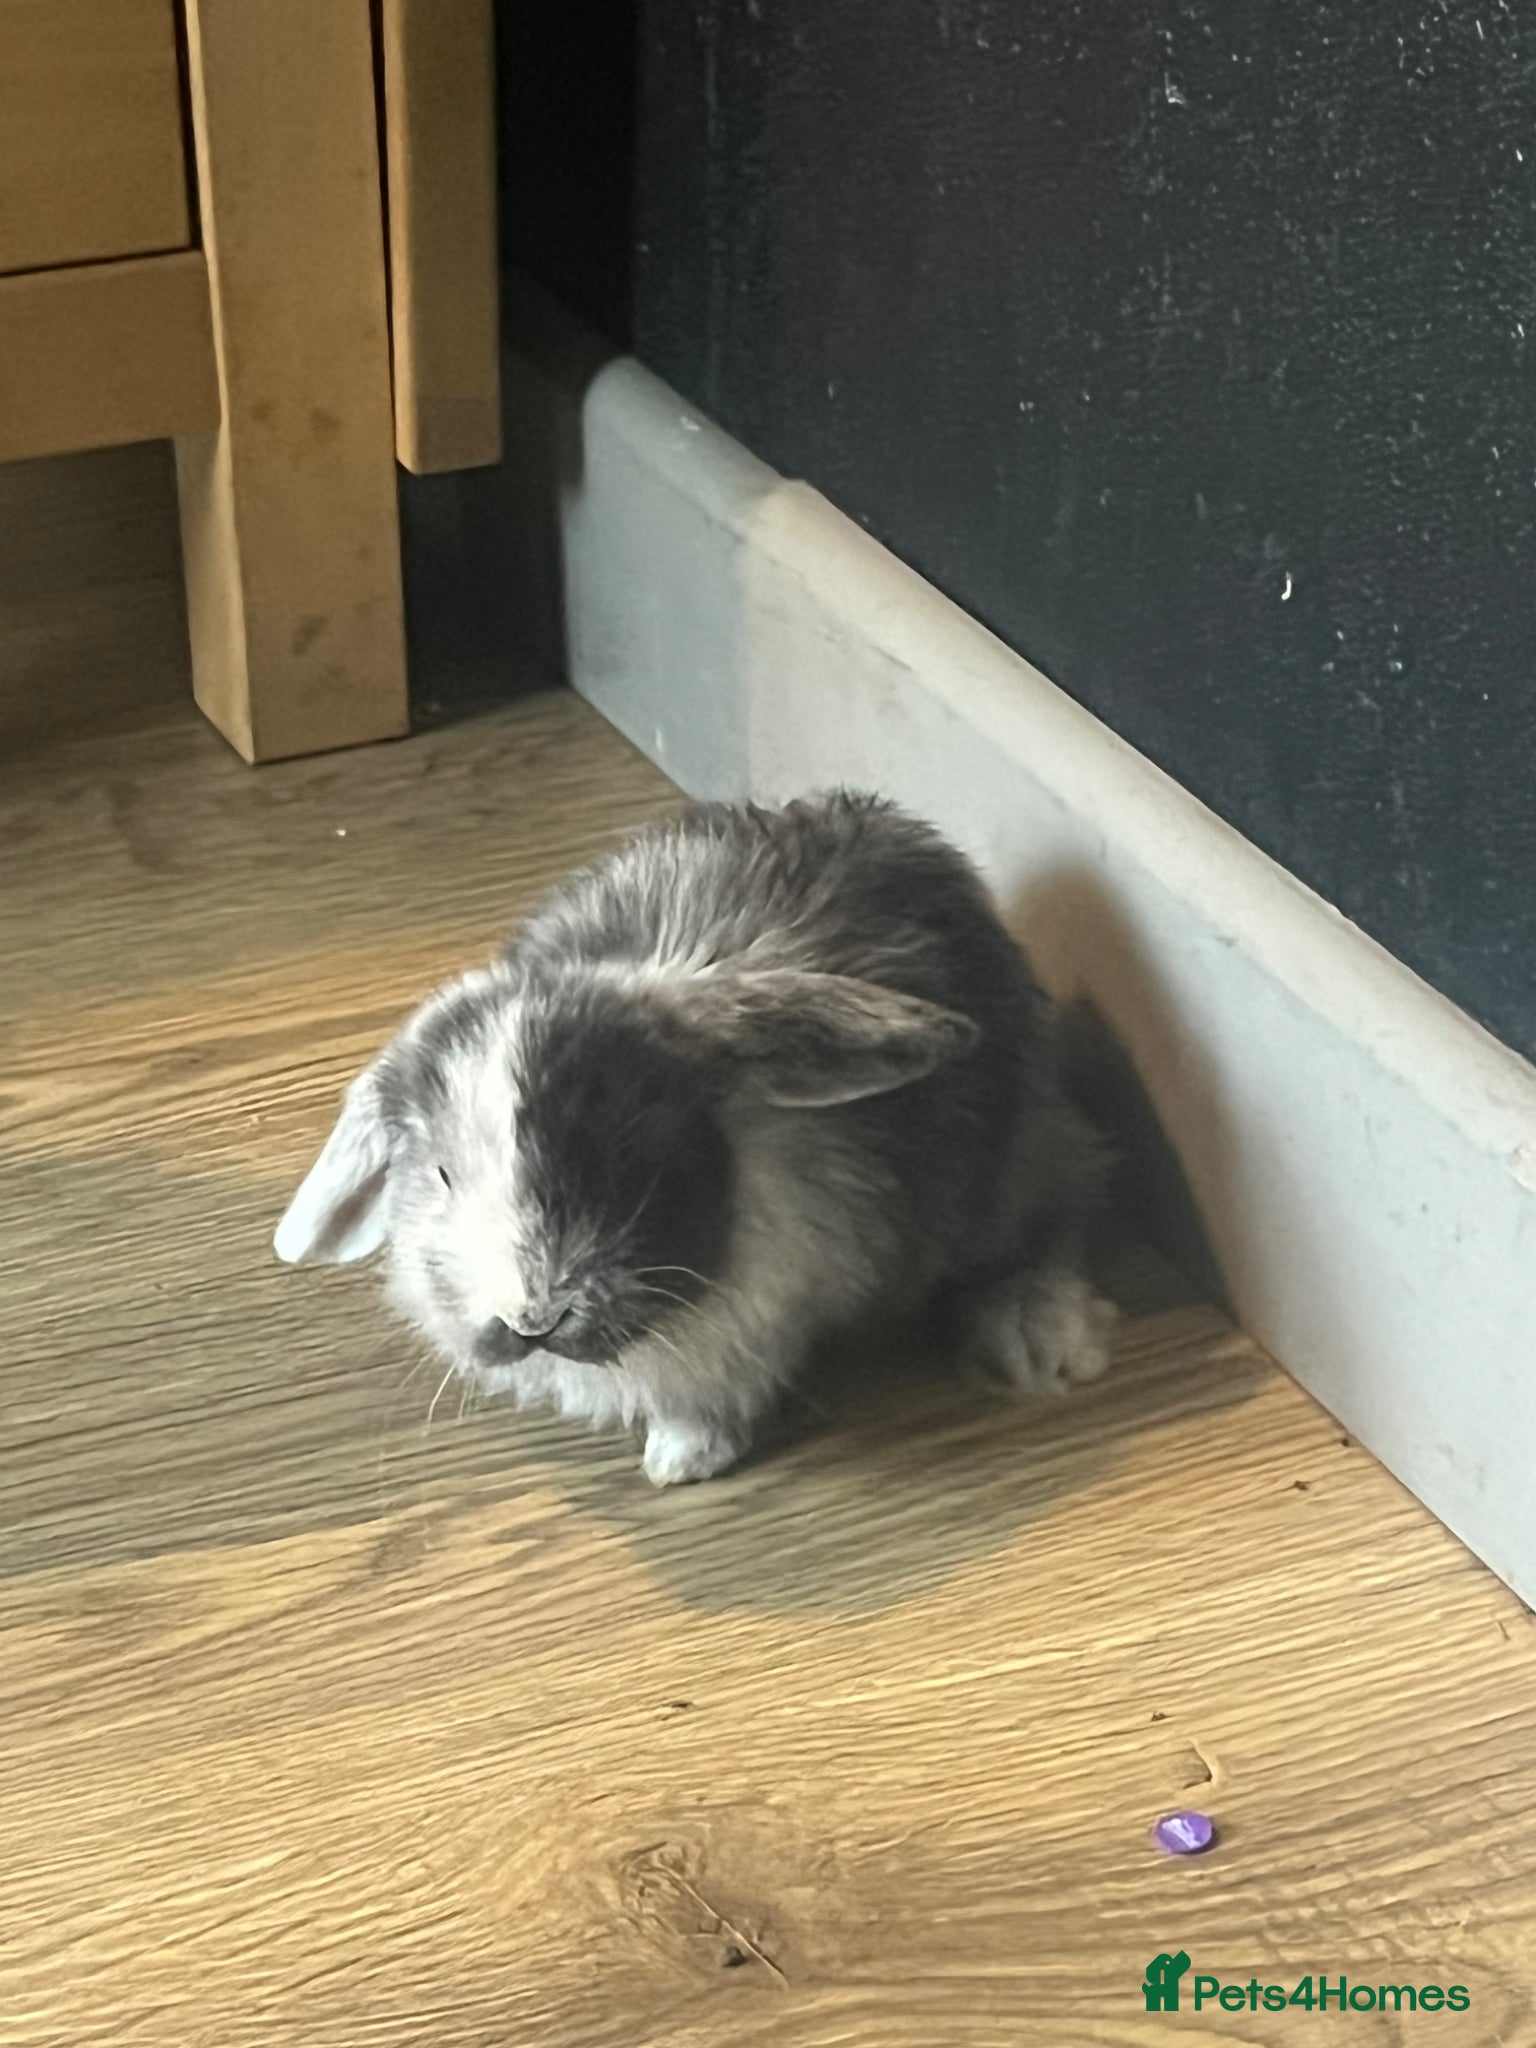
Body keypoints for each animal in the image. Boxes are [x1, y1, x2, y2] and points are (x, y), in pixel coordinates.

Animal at [273, 792, 1115, 1485]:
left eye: (617, 1148)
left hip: (1019, 1159)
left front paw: (680, 1461)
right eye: (444, 1174)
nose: (534, 1318)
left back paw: (1037, 1339)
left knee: (1061, 1212)